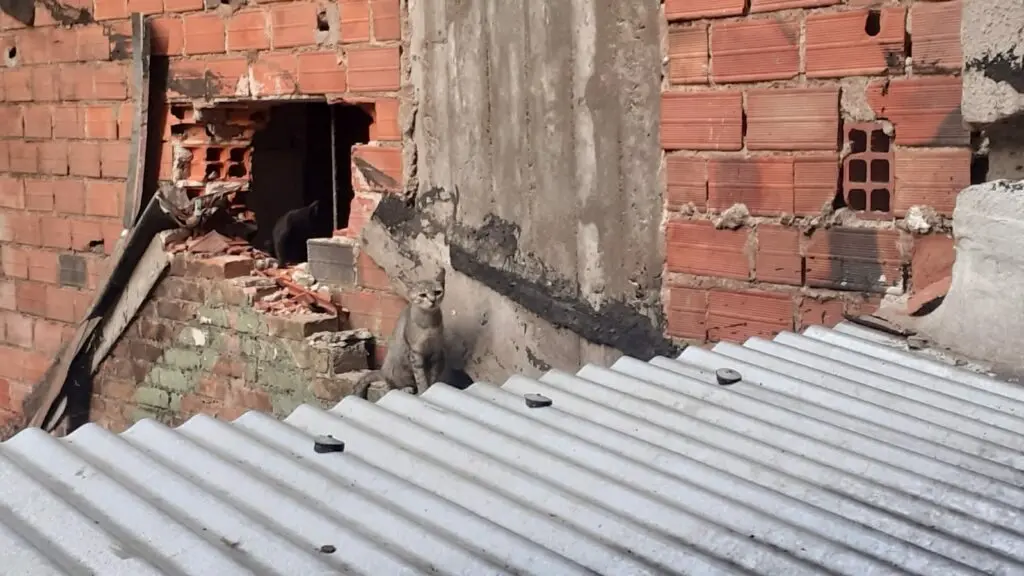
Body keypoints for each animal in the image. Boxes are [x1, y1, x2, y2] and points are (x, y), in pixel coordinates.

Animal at [354, 268, 448, 398]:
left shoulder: (436, 351)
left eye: (437, 292)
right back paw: (405, 388)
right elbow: (420, 377)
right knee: (391, 386)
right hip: (395, 364)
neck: (428, 322)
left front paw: (431, 388)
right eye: (422, 295)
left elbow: (432, 375)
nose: (433, 300)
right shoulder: (416, 352)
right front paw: (424, 390)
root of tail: (382, 371)